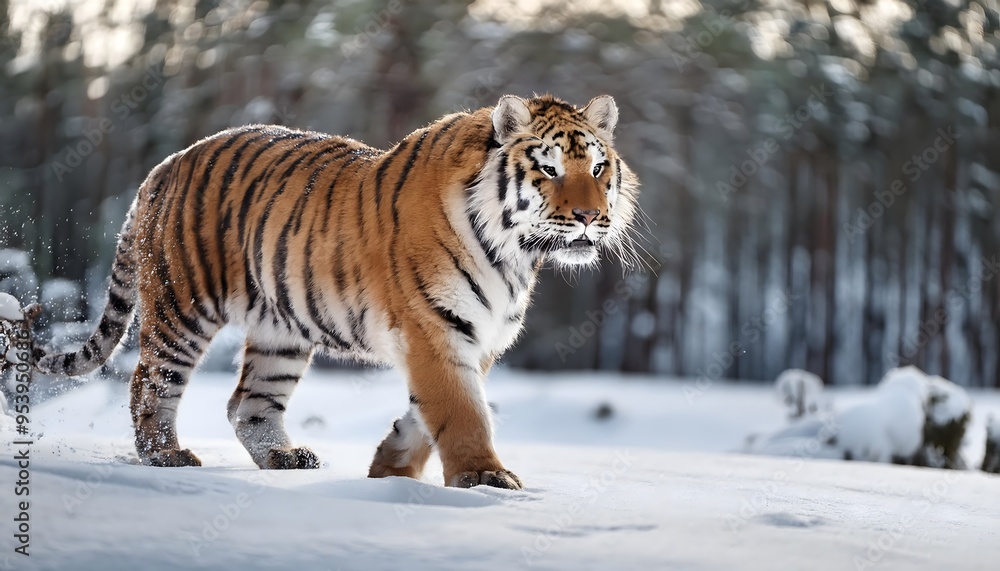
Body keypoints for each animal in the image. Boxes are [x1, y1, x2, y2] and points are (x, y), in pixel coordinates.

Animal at [31, 94, 640, 489]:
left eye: (598, 167)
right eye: (549, 170)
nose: (591, 217)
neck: (515, 251)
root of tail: (166, 164)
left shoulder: (477, 336)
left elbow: (427, 413)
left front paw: (390, 472)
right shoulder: (436, 327)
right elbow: (462, 409)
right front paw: (483, 476)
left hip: (280, 330)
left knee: (247, 403)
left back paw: (286, 459)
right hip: (184, 307)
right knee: (148, 383)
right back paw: (169, 457)